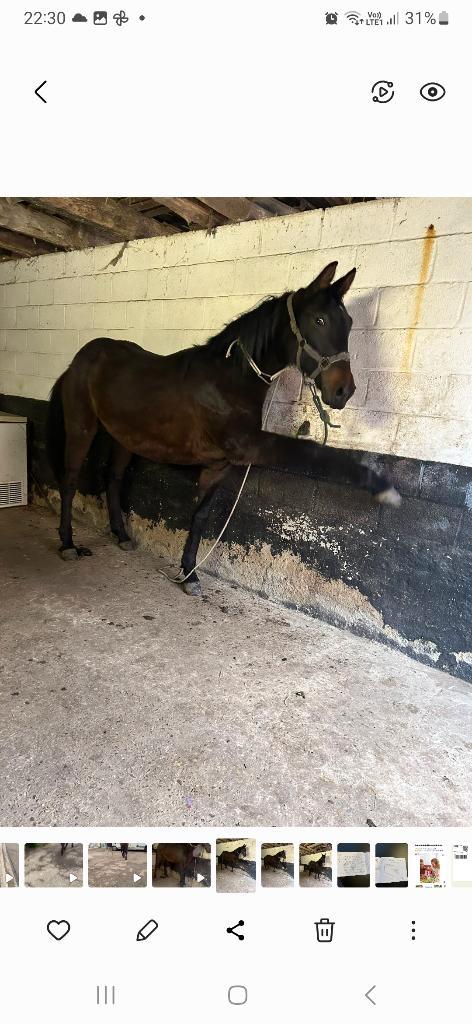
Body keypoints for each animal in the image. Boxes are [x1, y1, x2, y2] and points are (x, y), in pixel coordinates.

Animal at [46, 262, 400, 596]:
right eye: (319, 321)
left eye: (349, 323)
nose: (343, 391)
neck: (230, 379)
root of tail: (77, 361)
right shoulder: (249, 445)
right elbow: (311, 452)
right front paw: (381, 486)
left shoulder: (219, 465)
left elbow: (200, 516)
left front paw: (189, 574)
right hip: (81, 427)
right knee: (71, 479)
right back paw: (68, 544)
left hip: (125, 437)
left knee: (114, 479)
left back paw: (120, 535)